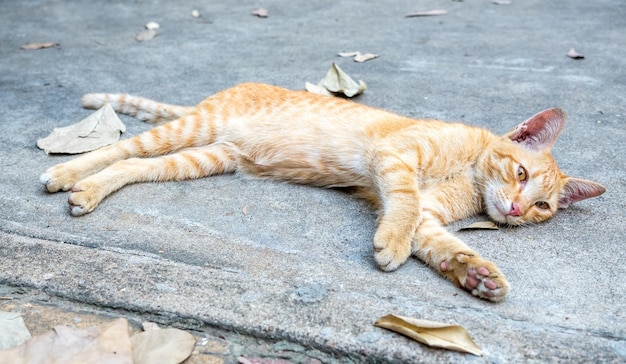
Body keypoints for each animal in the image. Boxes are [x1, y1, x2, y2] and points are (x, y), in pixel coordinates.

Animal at [40, 82, 604, 302]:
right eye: (521, 174)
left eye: (543, 207)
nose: (515, 209)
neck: (468, 175)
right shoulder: (396, 161)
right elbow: (404, 204)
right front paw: (392, 243)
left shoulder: (427, 214)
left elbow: (438, 241)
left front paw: (474, 273)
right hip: (189, 132)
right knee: (122, 148)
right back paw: (69, 174)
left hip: (203, 158)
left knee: (134, 164)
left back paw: (87, 188)